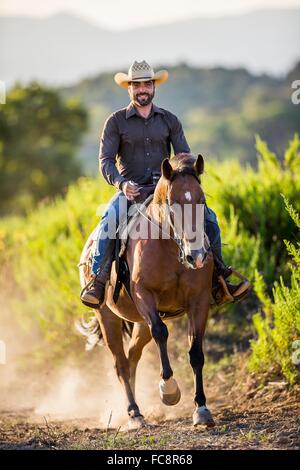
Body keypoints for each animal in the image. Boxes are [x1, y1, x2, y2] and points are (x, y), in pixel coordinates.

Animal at [77, 153, 216, 430]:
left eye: (201, 200)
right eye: (173, 203)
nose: (197, 256)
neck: (171, 248)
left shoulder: (199, 299)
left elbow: (196, 351)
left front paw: (201, 409)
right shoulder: (144, 295)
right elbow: (161, 333)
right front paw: (169, 389)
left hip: (140, 323)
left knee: (132, 357)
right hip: (108, 317)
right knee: (121, 363)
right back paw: (134, 412)